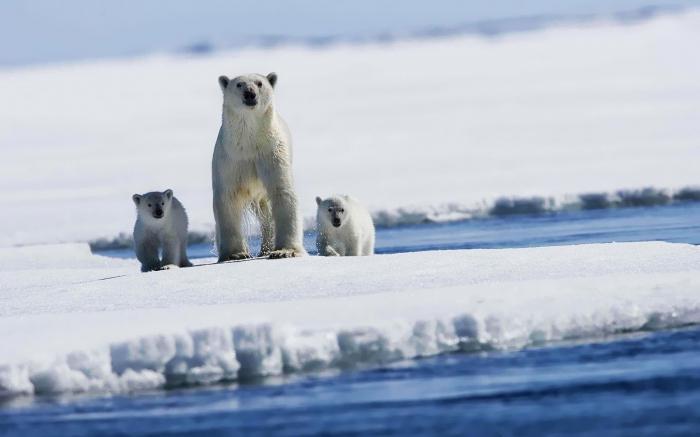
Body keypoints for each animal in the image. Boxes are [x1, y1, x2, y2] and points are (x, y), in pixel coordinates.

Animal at [211, 71, 304, 258]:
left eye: (259, 83)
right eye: (239, 84)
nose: (250, 93)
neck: (249, 143)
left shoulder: (271, 153)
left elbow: (282, 192)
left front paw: (284, 251)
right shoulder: (230, 160)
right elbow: (227, 198)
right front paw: (236, 253)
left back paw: (266, 248)